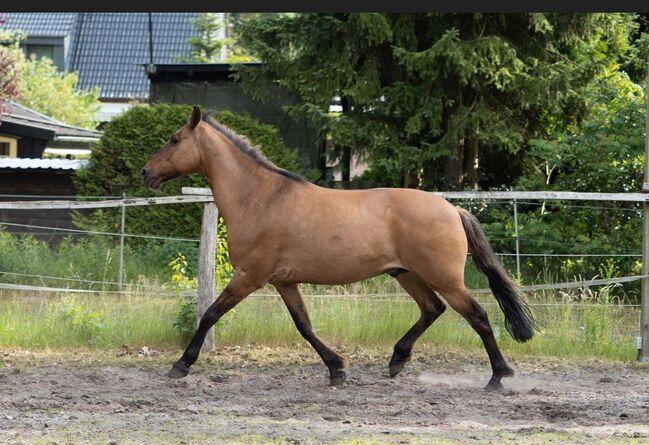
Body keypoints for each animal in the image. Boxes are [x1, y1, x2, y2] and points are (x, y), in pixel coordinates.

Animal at [144, 106, 536, 390]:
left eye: (174, 139)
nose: (146, 172)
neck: (260, 198)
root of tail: (453, 209)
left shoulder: (250, 276)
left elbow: (210, 314)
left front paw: (181, 365)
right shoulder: (284, 281)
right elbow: (304, 325)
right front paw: (336, 369)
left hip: (445, 278)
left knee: (478, 316)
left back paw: (498, 375)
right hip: (406, 274)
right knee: (432, 309)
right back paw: (397, 361)